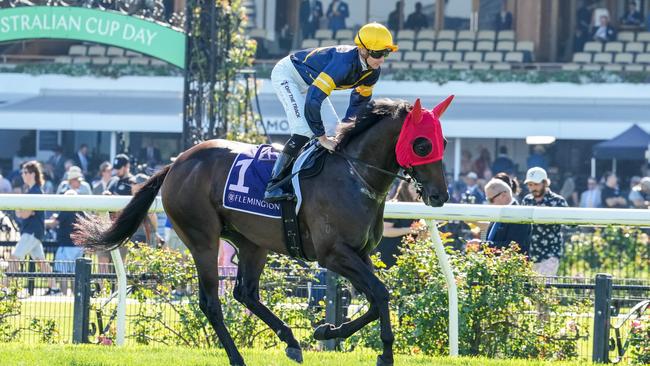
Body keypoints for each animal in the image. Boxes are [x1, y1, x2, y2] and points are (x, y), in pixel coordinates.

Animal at [73, 96, 450, 366]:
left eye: (442, 142)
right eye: (422, 145)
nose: (440, 196)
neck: (353, 177)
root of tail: (177, 162)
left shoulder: (359, 254)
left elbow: (374, 298)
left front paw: (326, 329)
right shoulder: (333, 254)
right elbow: (381, 294)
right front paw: (385, 354)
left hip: (253, 243)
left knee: (246, 293)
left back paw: (291, 341)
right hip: (202, 238)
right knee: (212, 301)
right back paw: (237, 357)